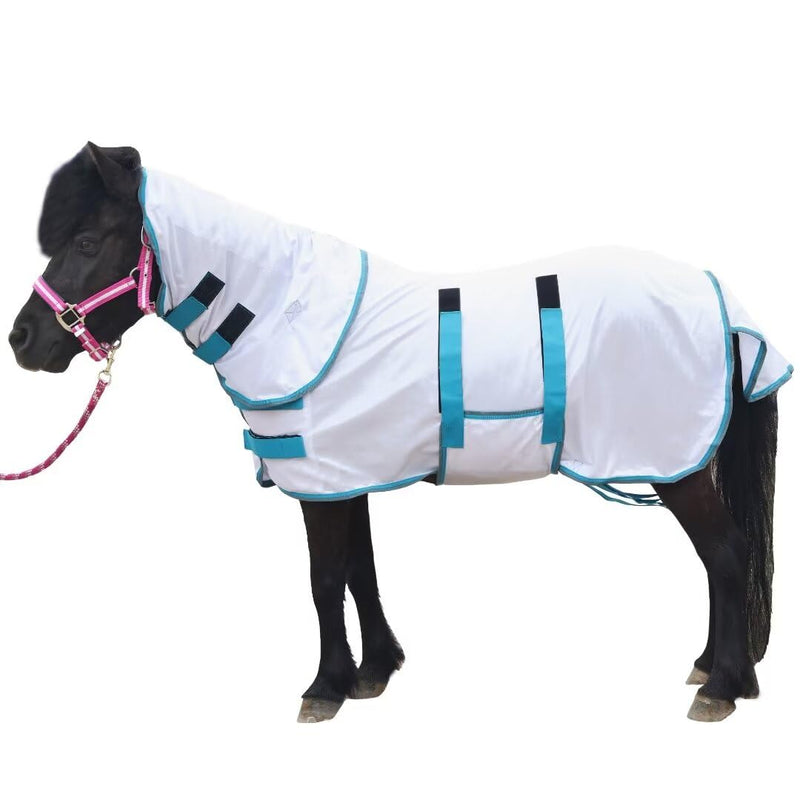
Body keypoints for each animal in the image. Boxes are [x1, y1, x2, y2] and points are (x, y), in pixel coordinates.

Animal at [8, 143, 792, 723]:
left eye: (86, 240)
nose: (22, 339)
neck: (283, 312)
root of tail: (717, 297)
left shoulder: (319, 484)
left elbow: (325, 580)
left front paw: (325, 687)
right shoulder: (346, 476)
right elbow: (361, 570)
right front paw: (377, 670)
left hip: (677, 465)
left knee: (725, 555)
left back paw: (723, 686)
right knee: (718, 562)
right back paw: (711, 667)